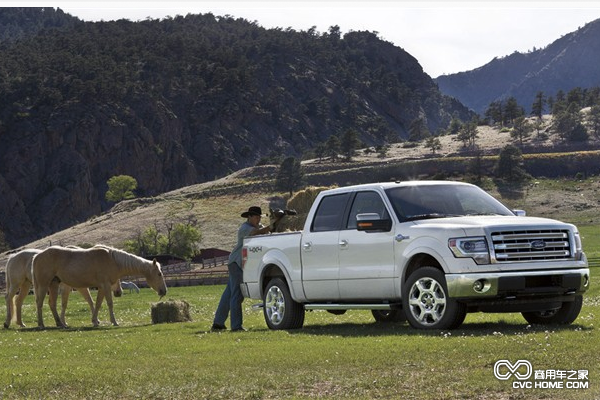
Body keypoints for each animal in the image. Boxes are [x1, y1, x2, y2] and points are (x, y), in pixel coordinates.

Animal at [32, 244, 166, 328]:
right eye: (159, 274)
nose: (164, 291)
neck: (113, 260)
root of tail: (36, 256)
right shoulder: (105, 286)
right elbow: (109, 303)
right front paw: (114, 322)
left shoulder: (102, 287)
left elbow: (97, 303)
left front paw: (95, 321)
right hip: (44, 285)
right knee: (39, 303)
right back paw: (41, 324)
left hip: (53, 285)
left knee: (52, 303)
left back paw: (60, 323)